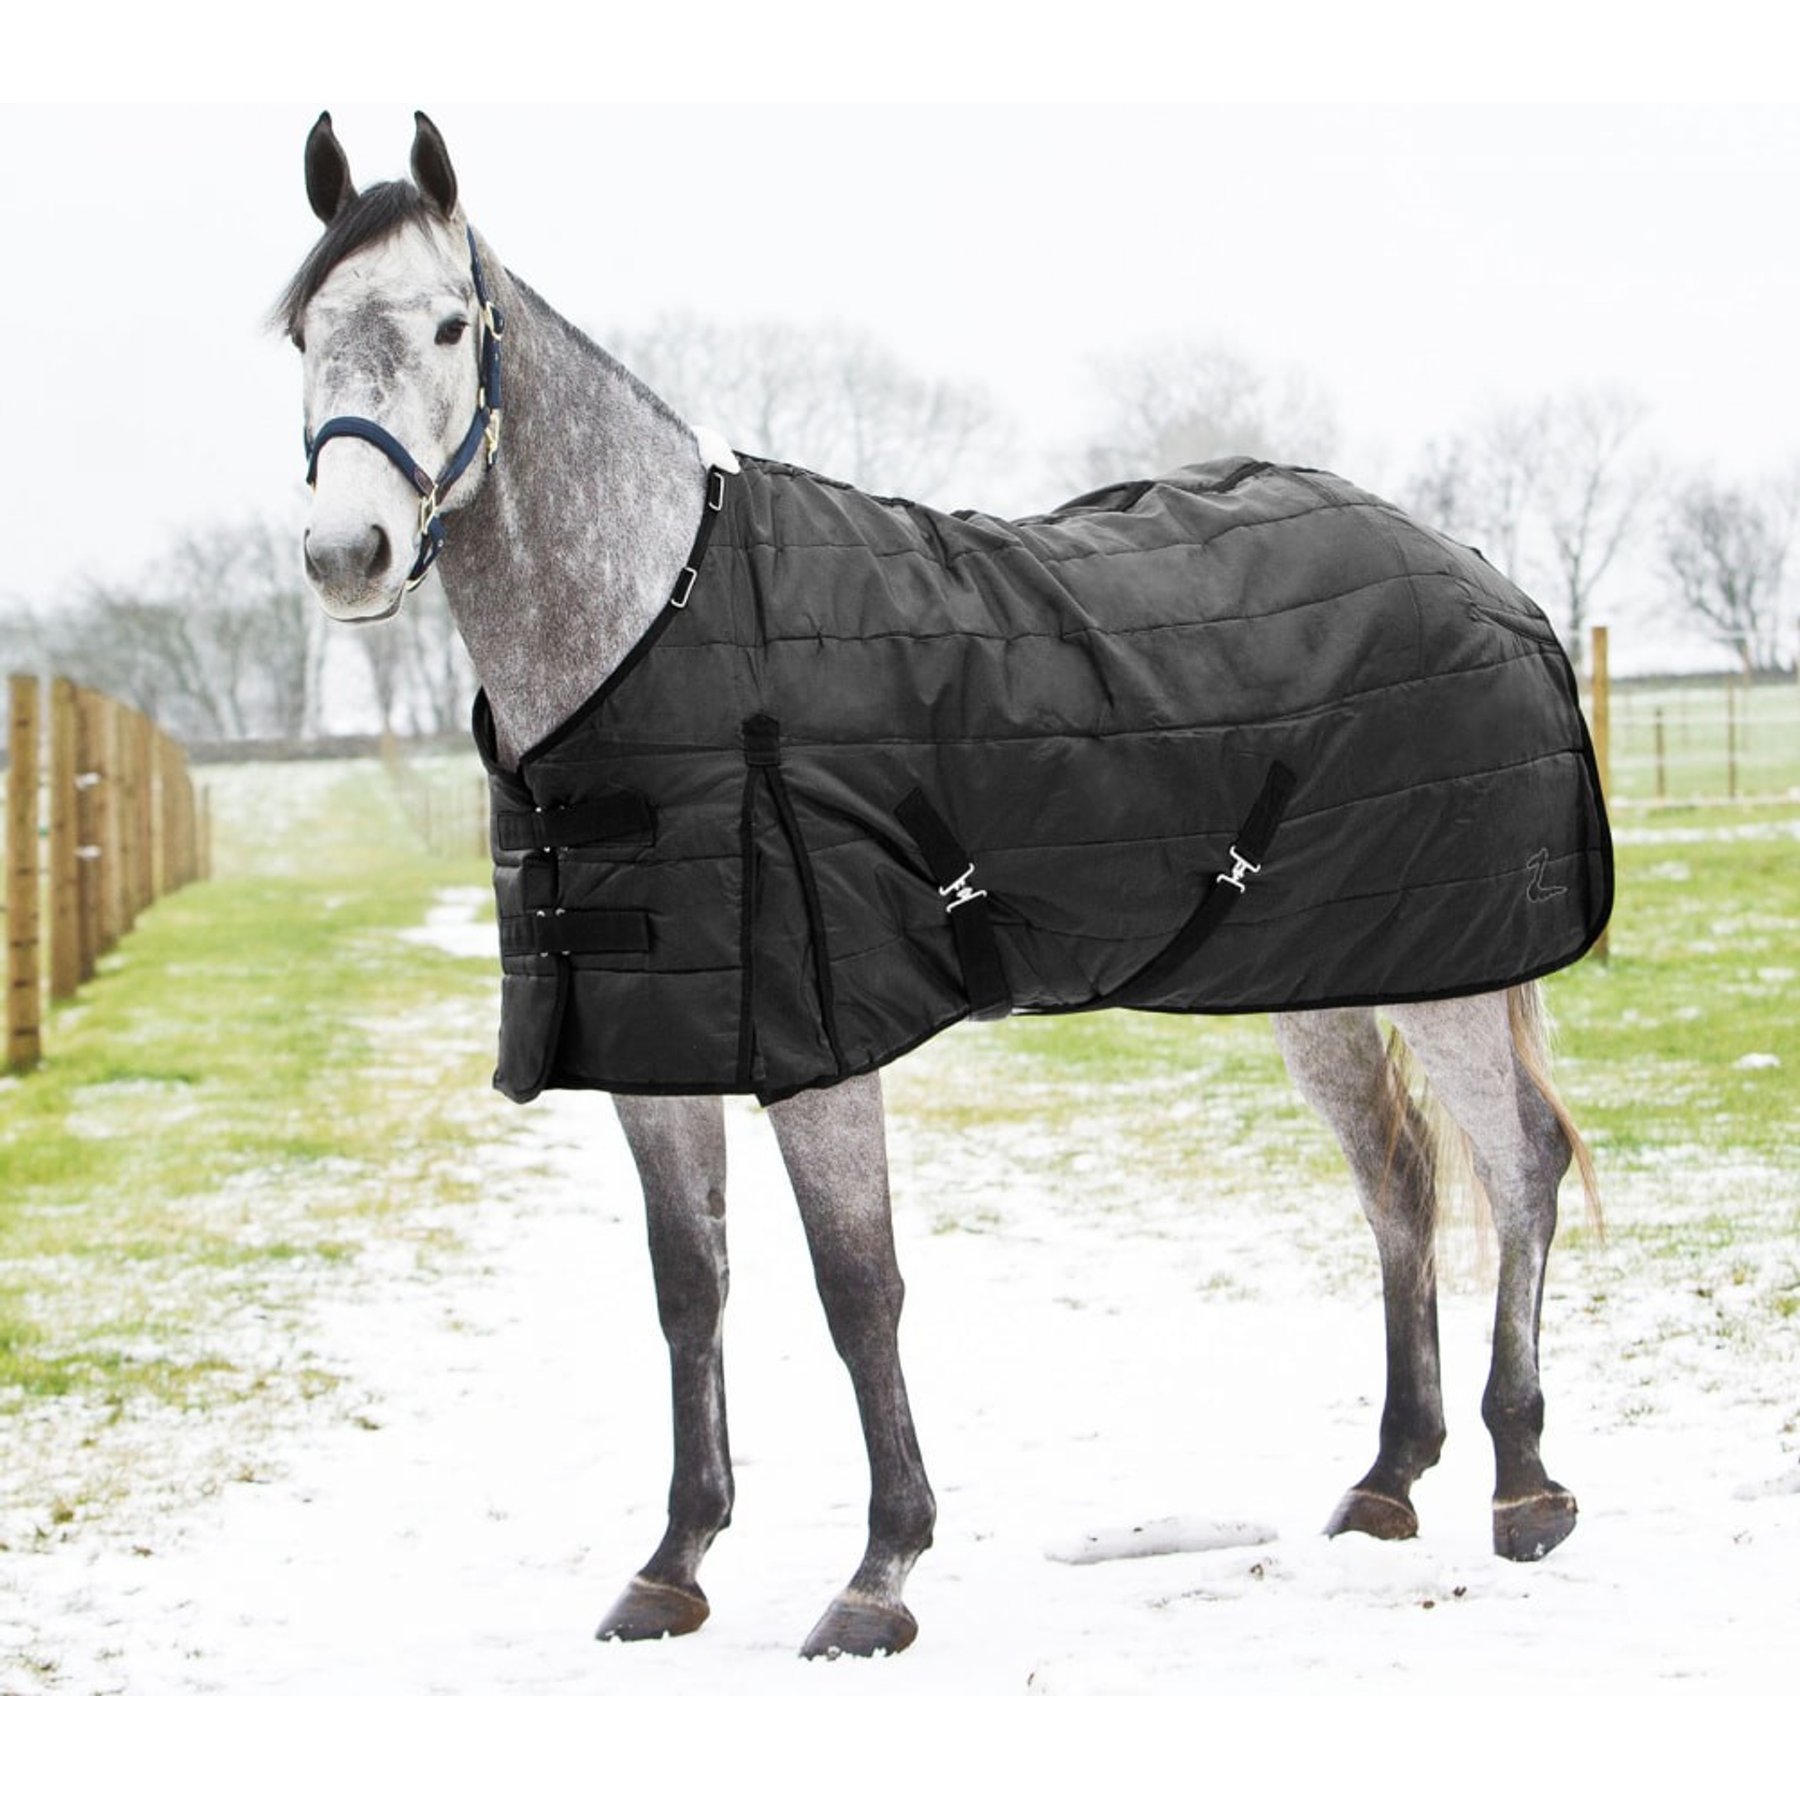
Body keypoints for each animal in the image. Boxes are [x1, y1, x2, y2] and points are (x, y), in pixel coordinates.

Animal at [280, 111, 1606, 1660]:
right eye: (304, 329)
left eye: (447, 324)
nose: (347, 555)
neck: (658, 632)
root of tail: (1488, 581)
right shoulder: (655, 1049)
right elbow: (690, 1290)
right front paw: (674, 1564)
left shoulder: (817, 1045)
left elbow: (859, 1290)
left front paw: (879, 1576)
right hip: (1331, 979)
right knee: (1400, 1180)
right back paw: (1391, 1478)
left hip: (1454, 976)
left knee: (1520, 1166)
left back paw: (1525, 1485)